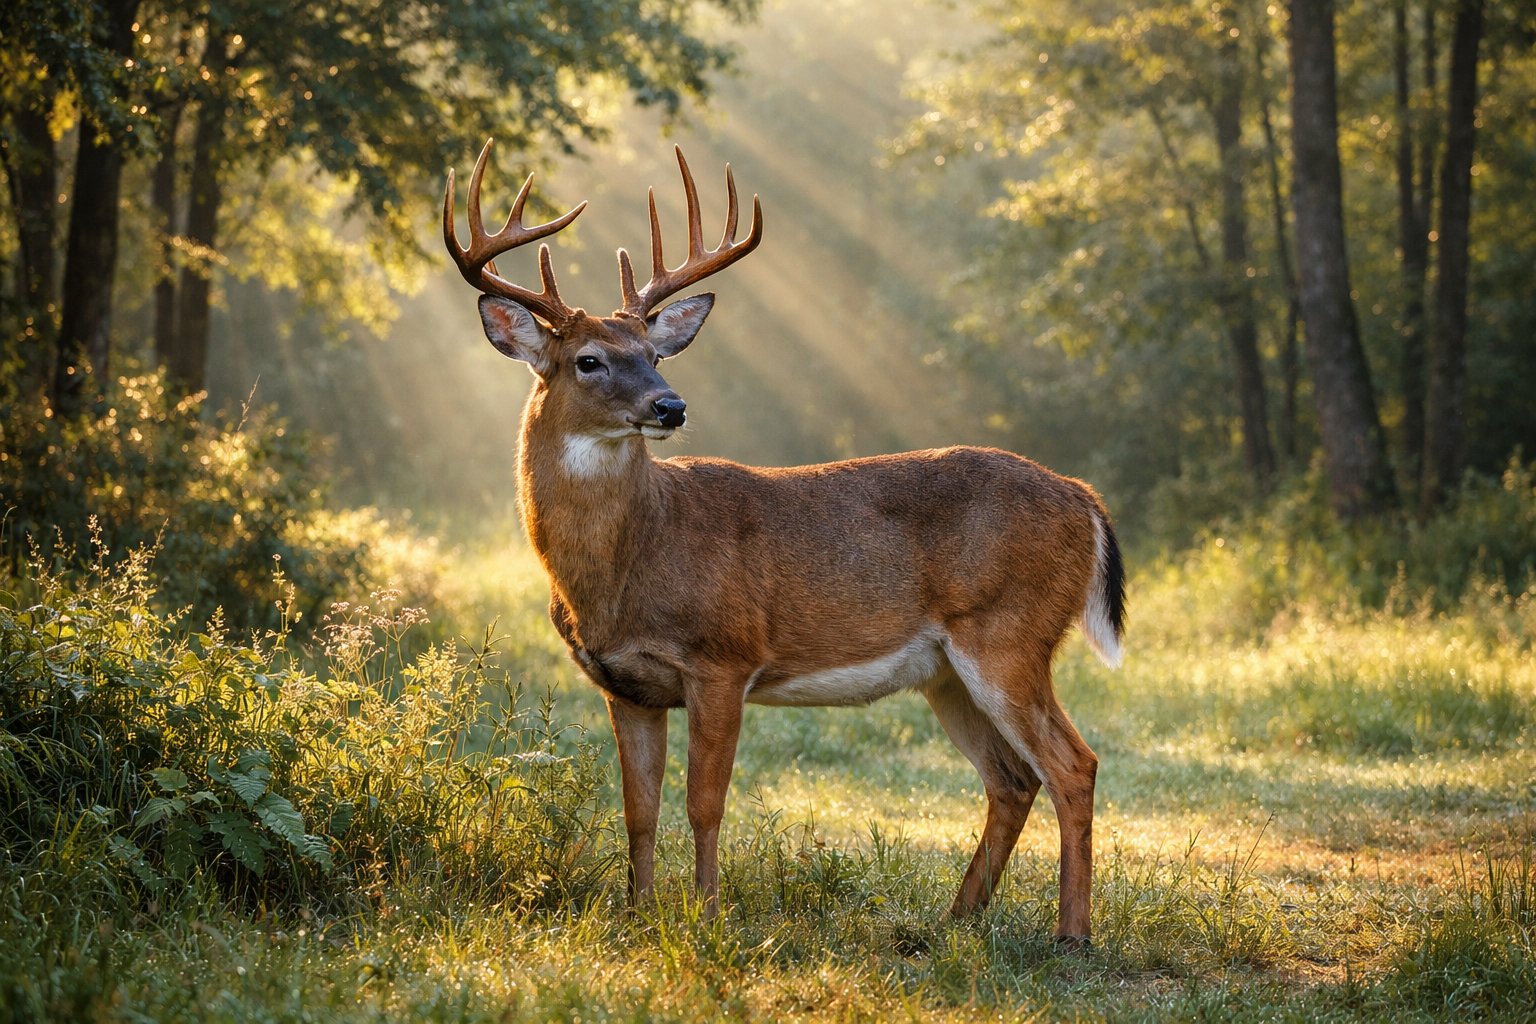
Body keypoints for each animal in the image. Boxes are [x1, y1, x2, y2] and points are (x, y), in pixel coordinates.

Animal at [442, 139, 1125, 947]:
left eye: (656, 355)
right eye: (589, 359)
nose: (670, 407)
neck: (630, 560)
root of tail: (1084, 497)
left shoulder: (724, 657)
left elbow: (704, 802)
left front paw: (705, 916)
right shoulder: (625, 684)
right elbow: (638, 809)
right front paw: (637, 917)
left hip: (1009, 631)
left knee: (1073, 764)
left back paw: (1072, 934)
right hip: (946, 670)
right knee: (1012, 779)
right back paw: (953, 920)